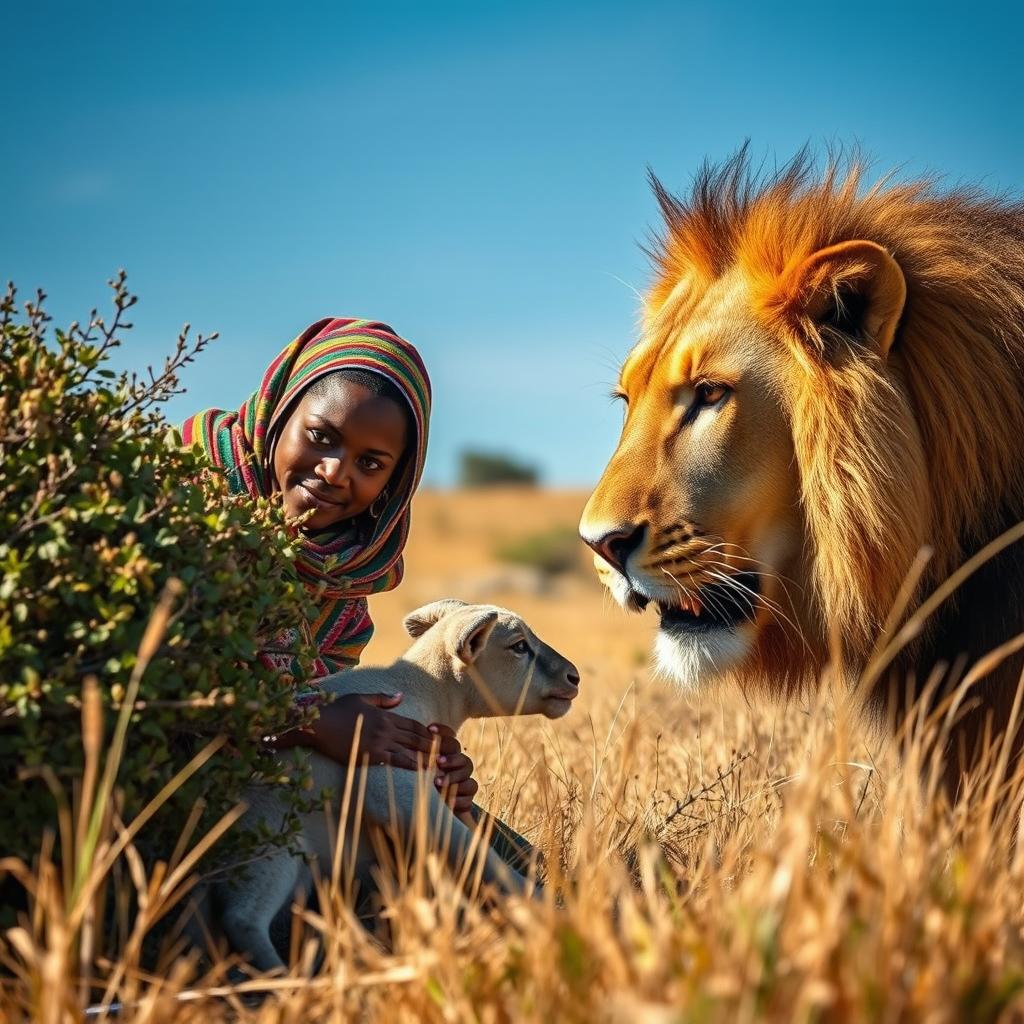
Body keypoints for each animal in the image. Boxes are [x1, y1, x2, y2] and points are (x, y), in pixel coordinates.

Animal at [211, 598, 581, 970]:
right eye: (519, 646)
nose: (573, 677)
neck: (426, 690)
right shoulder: (396, 786)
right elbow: (470, 849)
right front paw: (545, 908)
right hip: (273, 843)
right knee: (241, 918)